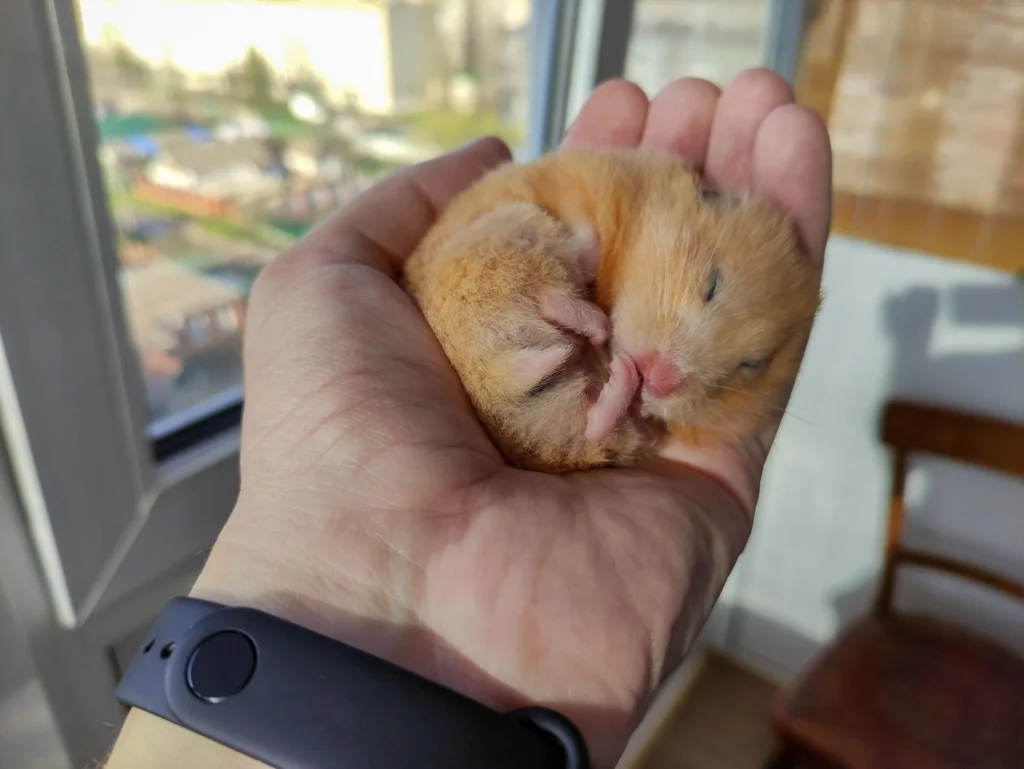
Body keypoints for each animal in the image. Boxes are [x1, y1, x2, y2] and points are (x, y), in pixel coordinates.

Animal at [402, 147, 821, 473]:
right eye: (712, 286)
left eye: (752, 364)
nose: (657, 377)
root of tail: (495, 384)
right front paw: (593, 238)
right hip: (504, 231)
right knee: (548, 280)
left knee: (593, 423)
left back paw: (608, 361)